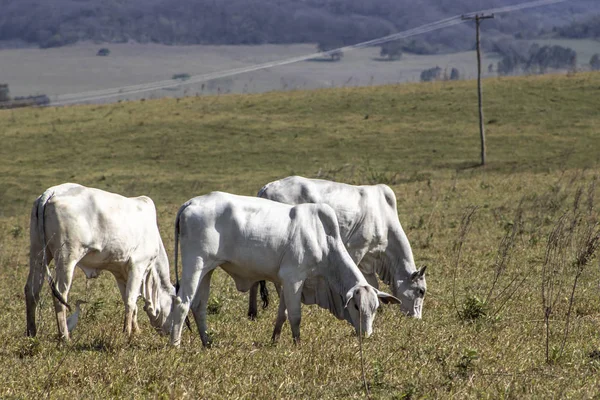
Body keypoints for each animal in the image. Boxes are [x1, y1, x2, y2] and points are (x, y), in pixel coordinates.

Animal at [26, 183, 176, 340]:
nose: (170, 332)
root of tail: (52, 192)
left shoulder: (121, 272)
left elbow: (130, 302)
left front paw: (135, 330)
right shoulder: (138, 265)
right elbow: (130, 300)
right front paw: (128, 332)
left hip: (38, 253)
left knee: (32, 290)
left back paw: (32, 333)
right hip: (66, 257)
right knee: (59, 294)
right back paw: (65, 336)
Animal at [169, 191, 398, 346]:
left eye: (375, 308)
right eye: (357, 306)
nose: (366, 334)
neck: (322, 237)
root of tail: (190, 203)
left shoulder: (284, 282)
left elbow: (283, 313)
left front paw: (274, 340)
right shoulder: (293, 279)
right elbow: (295, 315)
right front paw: (297, 344)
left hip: (207, 270)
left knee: (198, 305)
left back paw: (207, 342)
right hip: (195, 265)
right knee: (182, 303)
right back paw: (175, 344)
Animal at [248, 177, 426, 320]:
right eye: (421, 291)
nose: (417, 318)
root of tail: (266, 188)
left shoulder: (368, 260)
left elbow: (372, 282)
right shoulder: (357, 249)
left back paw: (252, 313)